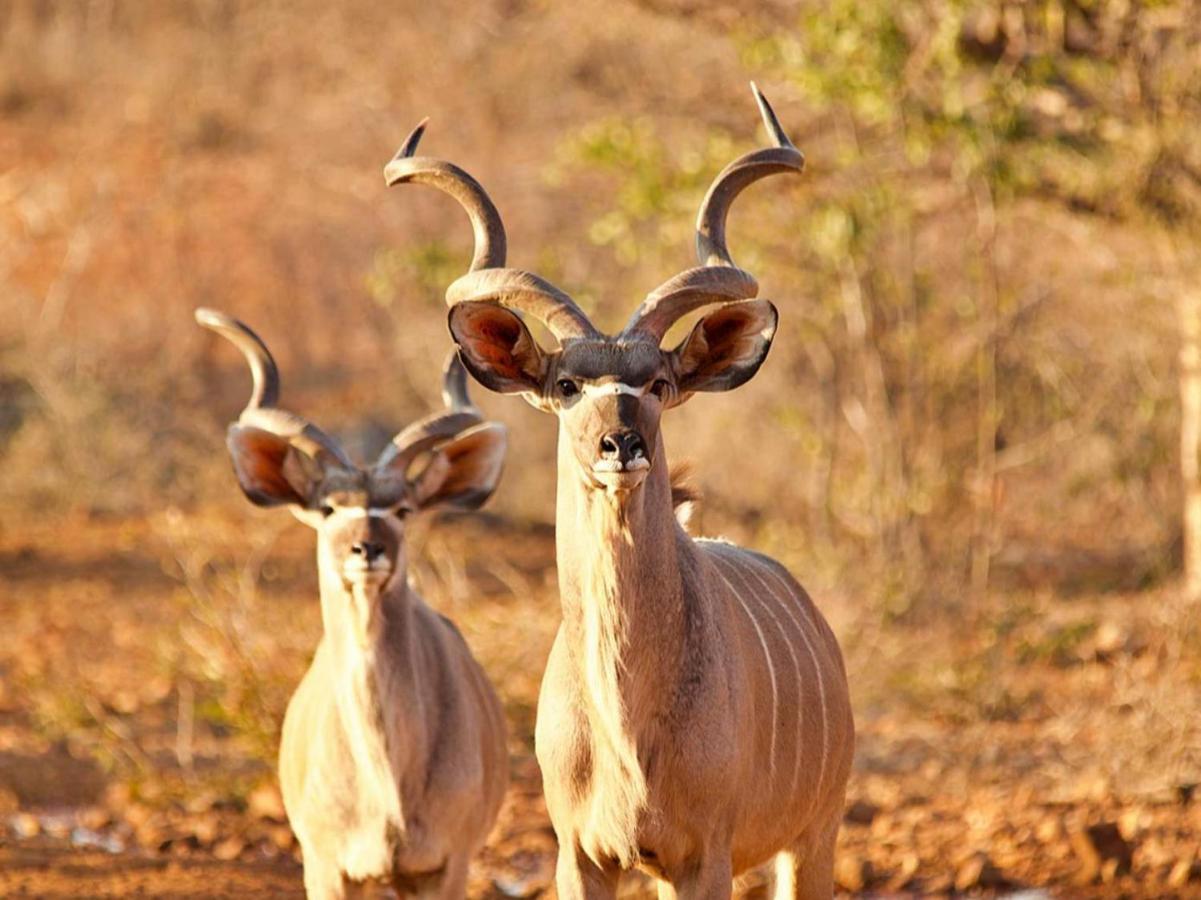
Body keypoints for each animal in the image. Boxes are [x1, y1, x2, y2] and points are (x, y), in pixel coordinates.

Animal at [384, 85, 855, 898]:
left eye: (660, 383)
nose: (622, 444)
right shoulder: (582, 854)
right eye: (567, 385)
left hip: (811, 838)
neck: (629, 724)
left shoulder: (705, 855)